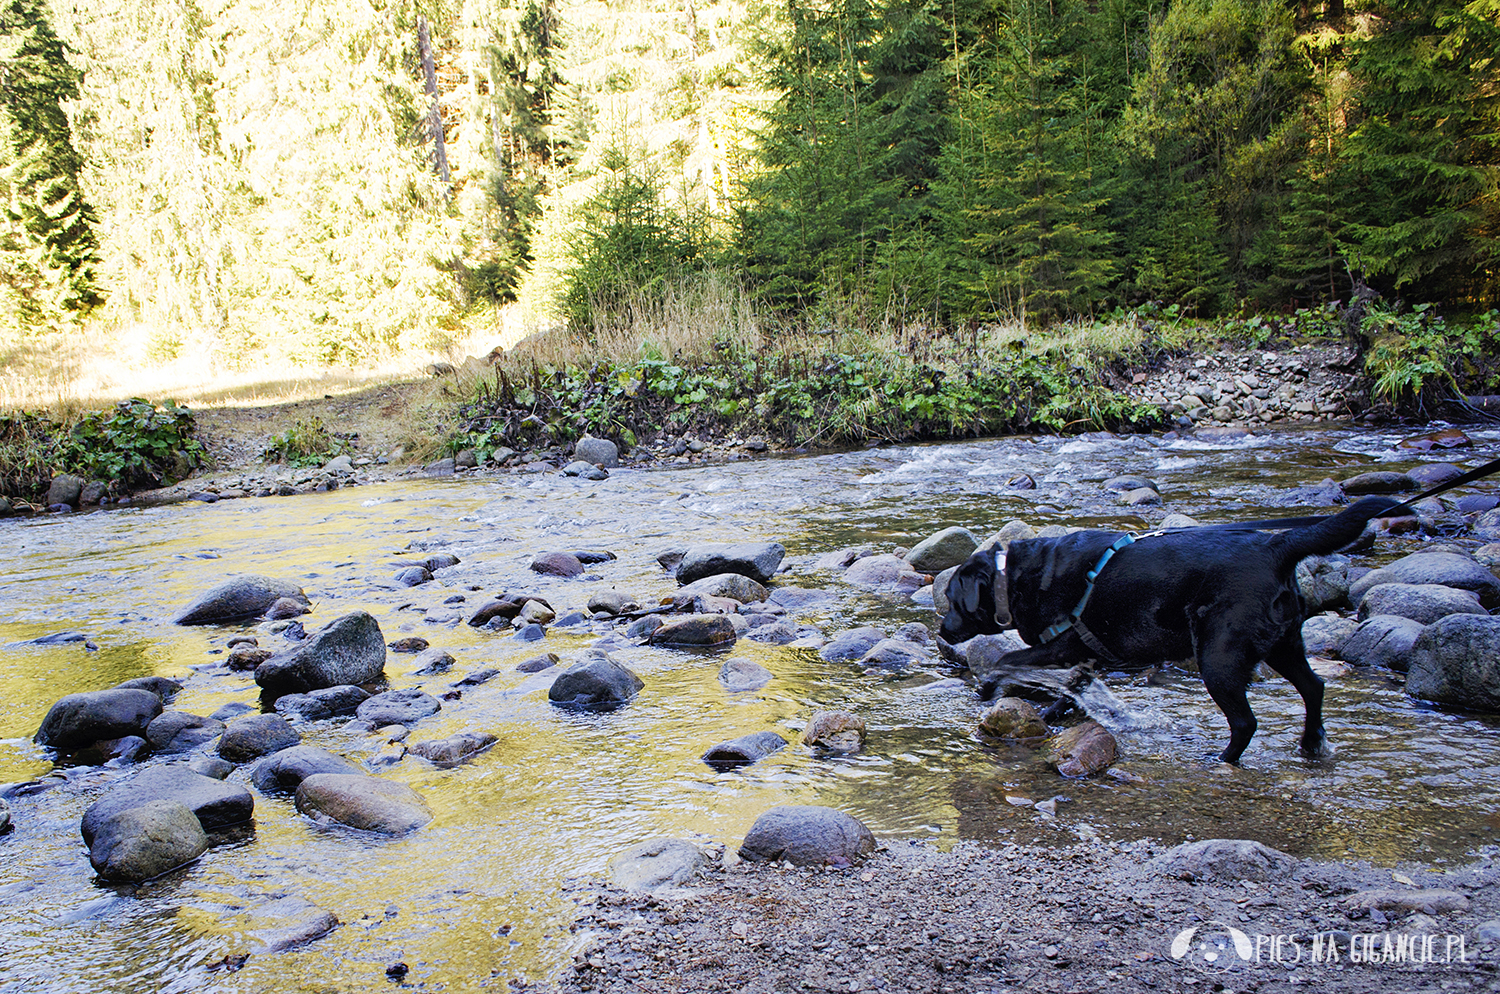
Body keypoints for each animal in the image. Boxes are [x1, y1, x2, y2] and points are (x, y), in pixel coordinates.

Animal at [936, 494, 1404, 761]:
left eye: (955, 601)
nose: (942, 631)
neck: (1012, 578)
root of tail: (1278, 545)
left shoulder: (1059, 645)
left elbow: (1009, 658)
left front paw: (989, 686)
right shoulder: (1084, 654)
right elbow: (1072, 687)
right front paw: (1053, 712)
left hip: (1219, 657)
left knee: (1246, 722)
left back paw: (1222, 760)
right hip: (1283, 643)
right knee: (1313, 687)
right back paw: (1311, 744)